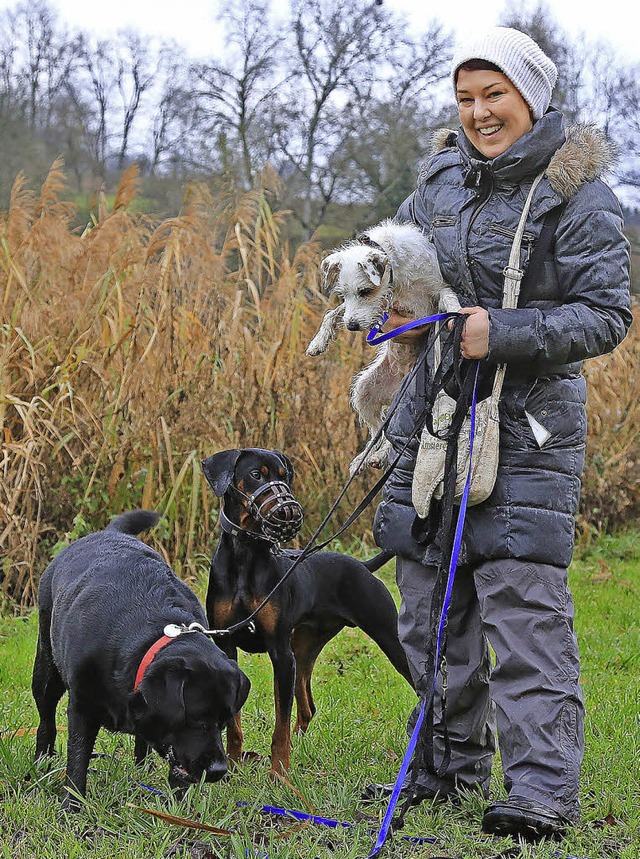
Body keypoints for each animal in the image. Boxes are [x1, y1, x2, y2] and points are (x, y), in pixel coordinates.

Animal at [31, 510, 250, 812]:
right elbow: (77, 758)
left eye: (224, 722)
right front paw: (72, 806)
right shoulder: (82, 706)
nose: (219, 770)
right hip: (46, 669)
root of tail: (108, 532)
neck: (149, 638)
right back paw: (42, 759)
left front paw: (177, 810)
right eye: (196, 719)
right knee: (46, 718)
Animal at [201, 446, 416, 776]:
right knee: (307, 707)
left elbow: (280, 725)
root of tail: (360, 565)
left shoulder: (280, 652)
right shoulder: (227, 646)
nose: (287, 510)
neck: (247, 555)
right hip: (303, 648)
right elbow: (236, 723)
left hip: (386, 638)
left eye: (285, 475)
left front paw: (279, 773)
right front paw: (234, 764)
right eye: (256, 474)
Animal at [308, 218, 458, 474]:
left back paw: (377, 456)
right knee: (378, 431)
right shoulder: (372, 309)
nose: (352, 326)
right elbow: (333, 313)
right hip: (364, 392)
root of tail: (393, 389)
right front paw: (318, 341)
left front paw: (463, 314)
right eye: (343, 293)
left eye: (365, 291)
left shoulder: (438, 288)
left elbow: (450, 299)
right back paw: (367, 457)